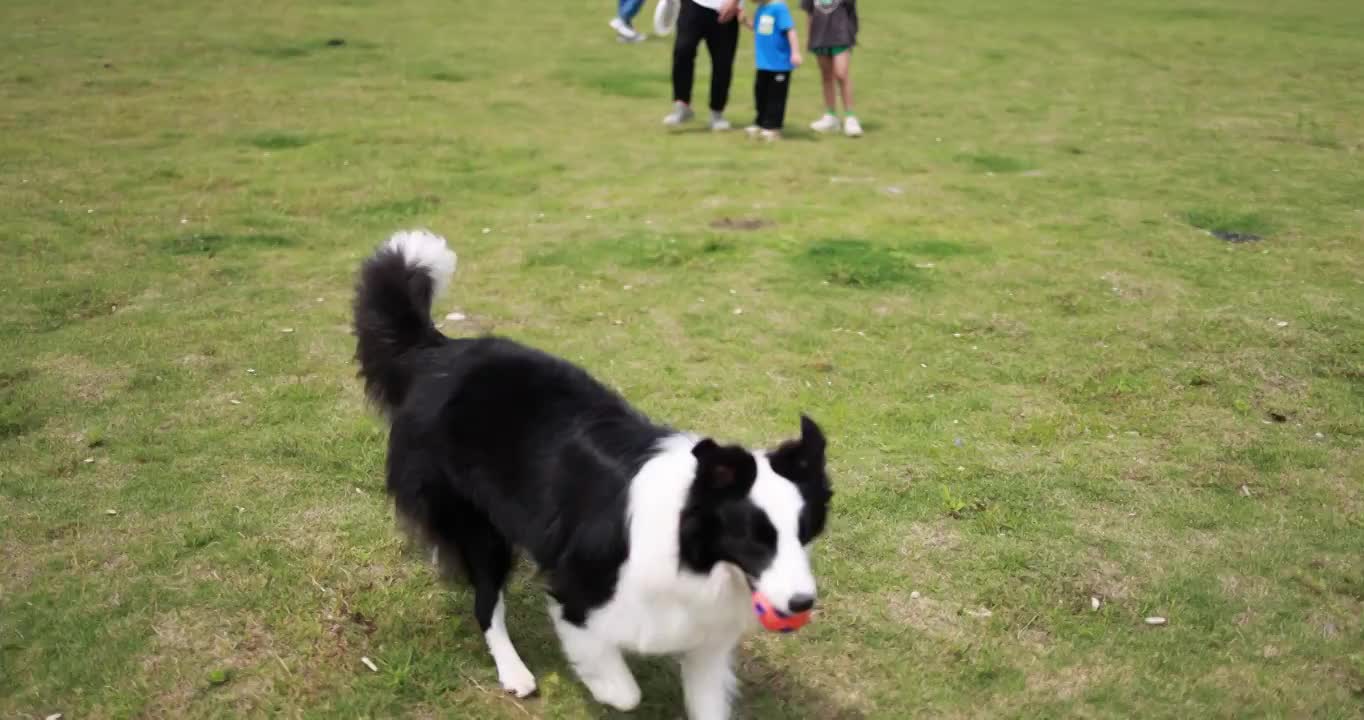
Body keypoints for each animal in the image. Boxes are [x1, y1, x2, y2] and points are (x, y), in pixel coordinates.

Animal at [354, 231, 829, 720]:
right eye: (754, 537)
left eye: (806, 531)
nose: (803, 603)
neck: (693, 549)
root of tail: (437, 351)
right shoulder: (578, 596)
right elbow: (623, 689)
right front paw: (606, 689)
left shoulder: (706, 636)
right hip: (478, 523)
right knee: (486, 603)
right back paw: (514, 671)